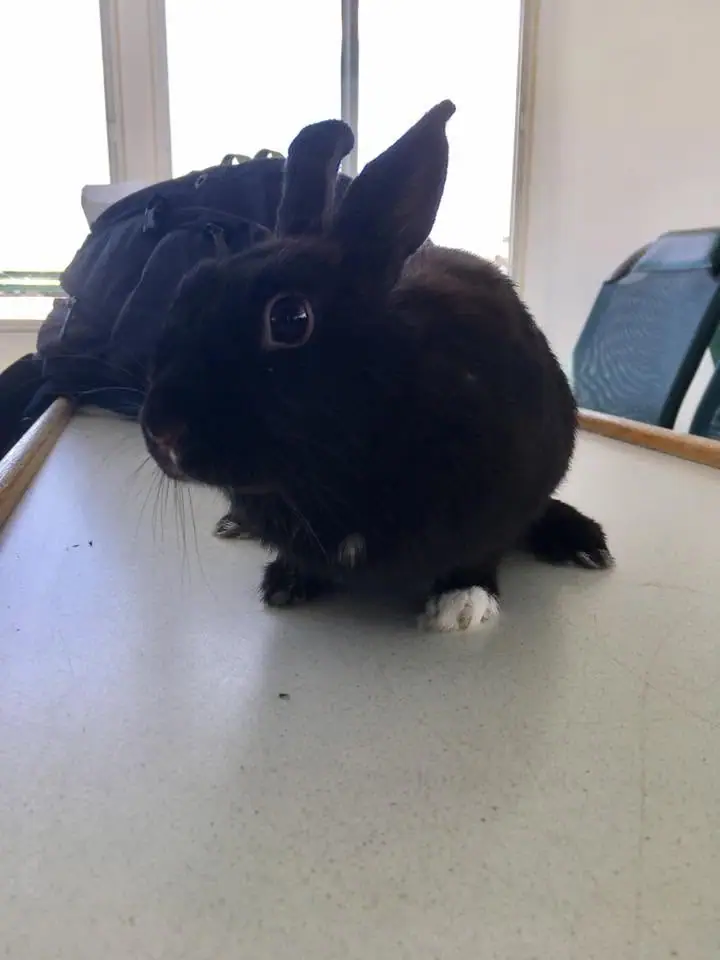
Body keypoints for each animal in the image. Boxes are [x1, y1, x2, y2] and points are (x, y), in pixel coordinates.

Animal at [141, 100, 612, 633]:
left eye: (290, 319)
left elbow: (481, 554)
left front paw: (460, 603)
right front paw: (287, 580)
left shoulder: (506, 497)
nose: (161, 430)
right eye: (189, 286)